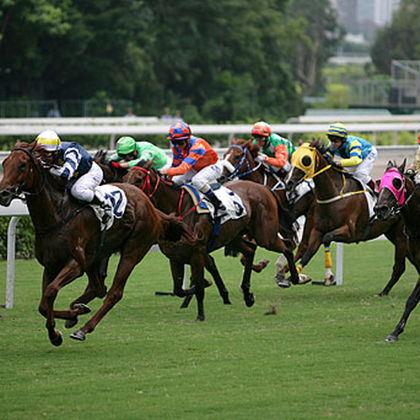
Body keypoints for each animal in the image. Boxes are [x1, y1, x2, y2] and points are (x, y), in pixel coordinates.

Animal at [0, 141, 192, 344]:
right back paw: (78, 310)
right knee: (98, 287)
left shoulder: (75, 264)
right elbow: (44, 304)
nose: (3, 193)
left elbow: (50, 293)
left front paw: (68, 321)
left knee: (114, 293)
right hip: (95, 256)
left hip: (133, 250)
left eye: (22, 165)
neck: (57, 213)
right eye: (5, 163)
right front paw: (60, 328)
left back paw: (83, 329)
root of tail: (150, 206)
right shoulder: (51, 265)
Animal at [122, 162, 298, 320]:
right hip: (233, 237)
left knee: (287, 246)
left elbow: (198, 286)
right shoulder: (174, 255)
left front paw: (201, 314)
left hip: (265, 236)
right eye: (124, 177)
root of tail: (264, 188)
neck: (178, 209)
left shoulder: (197, 252)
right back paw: (248, 295)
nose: (128, 196)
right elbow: (180, 290)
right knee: (250, 250)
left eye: (139, 179)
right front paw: (210, 288)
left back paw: (294, 278)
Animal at [284, 140, 408, 296]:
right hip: (393, 233)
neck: (334, 193)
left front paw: (329, 278)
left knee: (399, 266)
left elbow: (326, 239)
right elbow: (308, 253)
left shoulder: (349, 232)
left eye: (306, 160)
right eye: (293, 156)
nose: (288, 182)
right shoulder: (318, 230)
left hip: (401, 236)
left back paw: (384, 291)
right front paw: (293, 278)